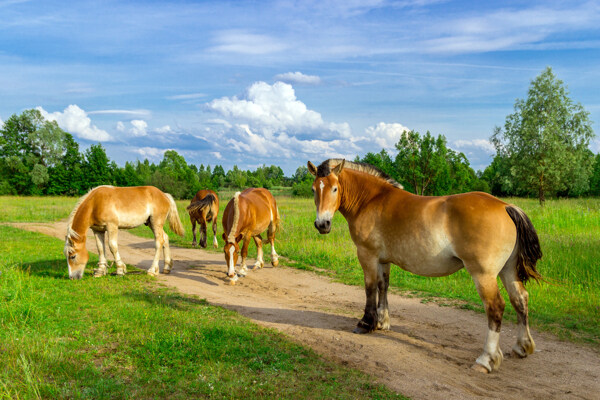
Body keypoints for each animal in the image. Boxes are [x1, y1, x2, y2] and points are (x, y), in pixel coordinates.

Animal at [310, 159, 544, 372]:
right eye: (314, 189)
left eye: (334, 188)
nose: (322, 224)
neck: (371, 199)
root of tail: (505, 206)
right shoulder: (383, 260)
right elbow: (383, 287)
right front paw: (382, 322)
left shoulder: (367, 255)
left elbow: (370, 288)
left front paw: (366, 323)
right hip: (508, 270)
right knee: (520, 299)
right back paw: (522, 347)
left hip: (483, 275)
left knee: (495, 307)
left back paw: (486, 360)